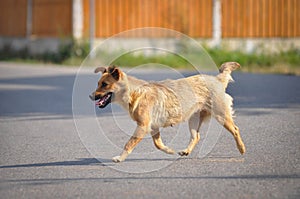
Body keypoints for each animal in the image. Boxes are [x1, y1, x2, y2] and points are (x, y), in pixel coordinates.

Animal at [89, 62, 246, 163]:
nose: (90, 96)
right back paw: (186, 151)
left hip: (221, 116)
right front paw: (169, 150)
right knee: (196, 136)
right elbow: (158, 144)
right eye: (98, 84)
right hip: (193, 120)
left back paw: (241, 148)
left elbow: (129, 143)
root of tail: (217, 79)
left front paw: (120, 158)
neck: (134, 92)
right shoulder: (153, 127)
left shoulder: (143, 126)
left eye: (104, 84)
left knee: (236, 129)